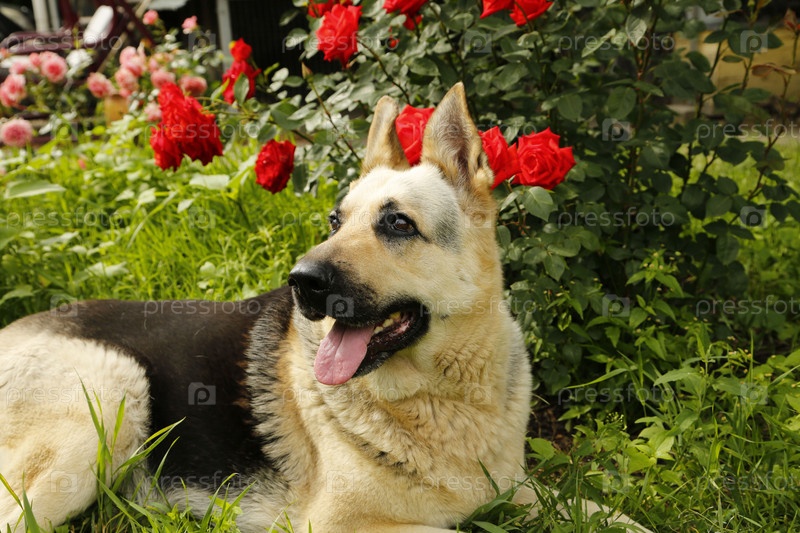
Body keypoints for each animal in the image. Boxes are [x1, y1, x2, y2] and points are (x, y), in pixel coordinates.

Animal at [0, 84, 647, 532]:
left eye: (397, 224)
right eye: (337, 221)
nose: (300, 283)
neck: (443, 399)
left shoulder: (517, 490)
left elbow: (611, 514)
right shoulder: (343, 524)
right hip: (114, 392)